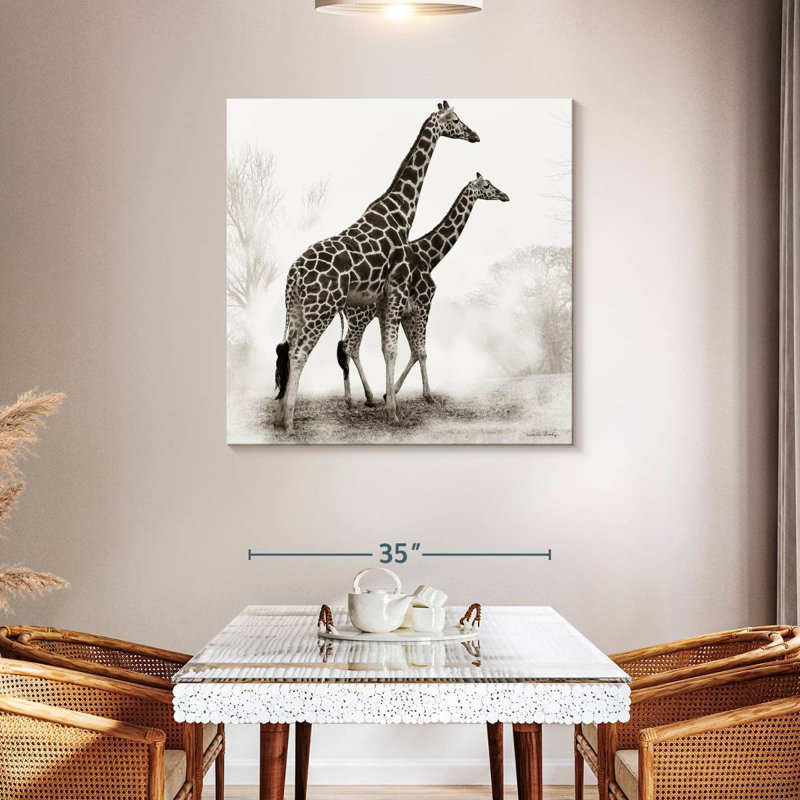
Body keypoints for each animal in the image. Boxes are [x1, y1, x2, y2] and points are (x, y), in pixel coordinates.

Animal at [275, 101, 480, 434]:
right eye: (455, 119)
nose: (475, 135)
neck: (401, 213)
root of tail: (294, 276)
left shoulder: (387, 299)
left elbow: (390, 349)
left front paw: (389, 402)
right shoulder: (398, 289)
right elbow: (396, 349)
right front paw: (393, 411)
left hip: (296, 308)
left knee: (288, 348)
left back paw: (280, 417)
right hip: (322, 308)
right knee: (301, 352)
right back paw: (291, 422)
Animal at [338, 173, 510, 405]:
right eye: (487, 185)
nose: (505, 195)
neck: (429, 257)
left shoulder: (407, 312)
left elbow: (414, 351)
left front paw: (391, 393)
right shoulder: (424, 302)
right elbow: (422, 351)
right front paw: (427, 395)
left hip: (358, 318)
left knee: (350, 347)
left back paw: (361, 397)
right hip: (360, 316)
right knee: (349, 346)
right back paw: (358, 397)